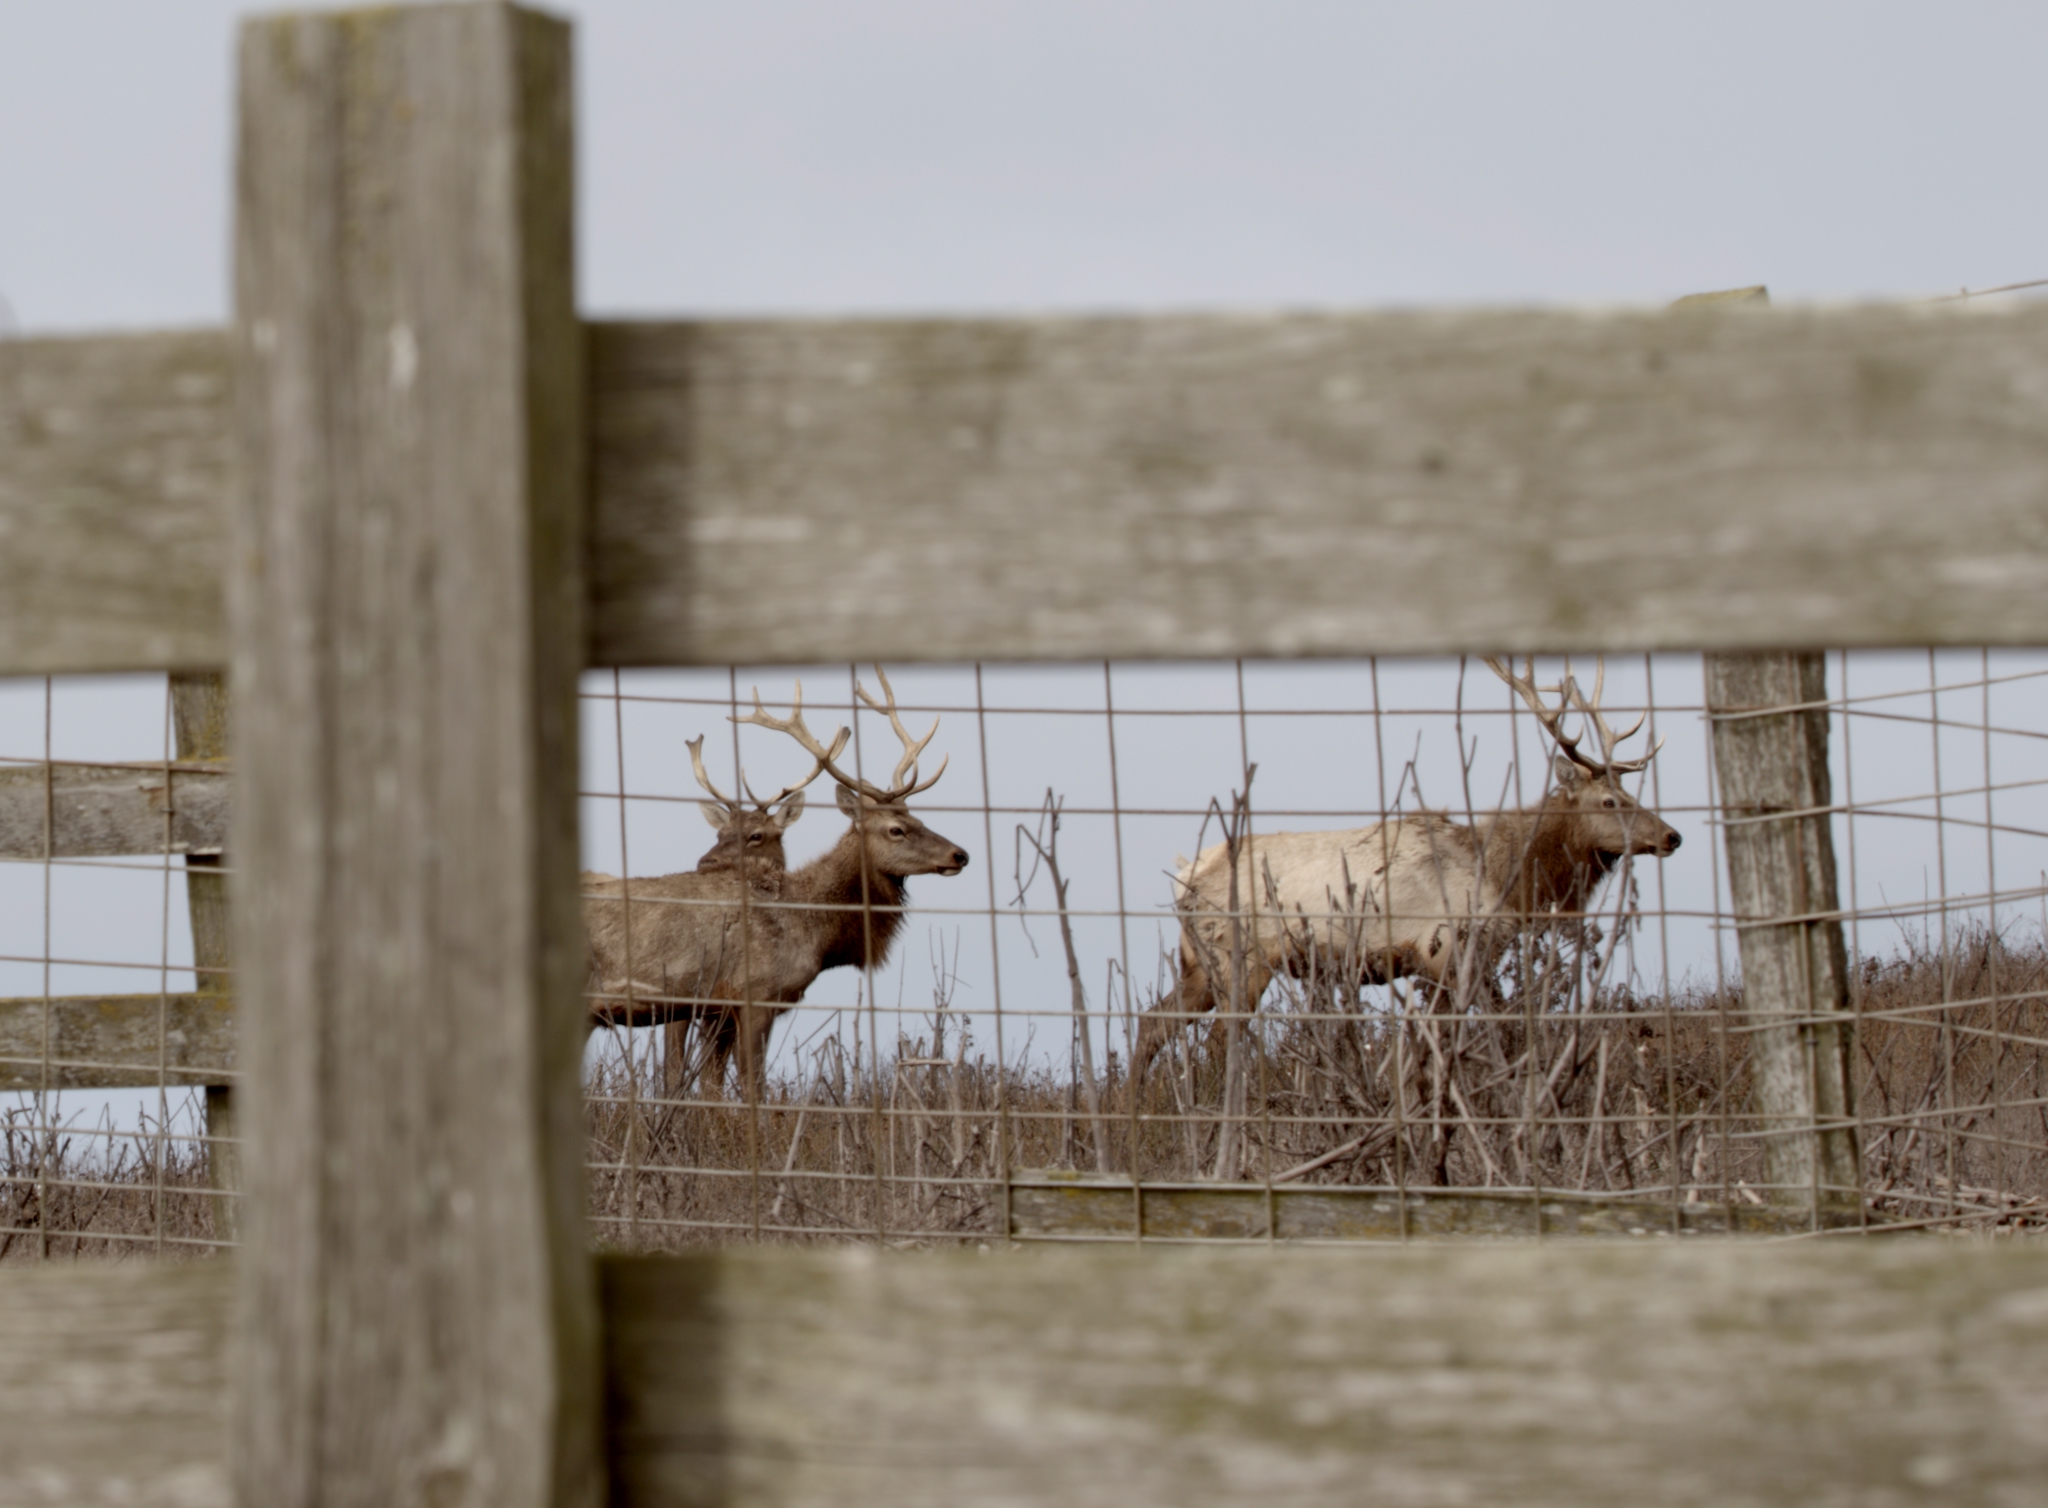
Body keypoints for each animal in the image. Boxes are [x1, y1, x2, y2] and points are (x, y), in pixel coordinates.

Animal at [581, 672, 970, 1098]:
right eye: (896, 829)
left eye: (919, 819)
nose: (959, 855)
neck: (811, 926)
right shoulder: (755, 994)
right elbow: (753, 1085)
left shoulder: (720, 1007)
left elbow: (712, 1088)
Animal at [1138, 655, 1679, 1081]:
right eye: (1609, 801)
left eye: (1632, 794)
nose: (1673, 835)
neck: (1507, 881)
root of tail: (1185, 876)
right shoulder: (1446, 950)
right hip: (1239, 958)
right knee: (1214, 1041)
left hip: (1198, 962)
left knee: (1151, 1024)